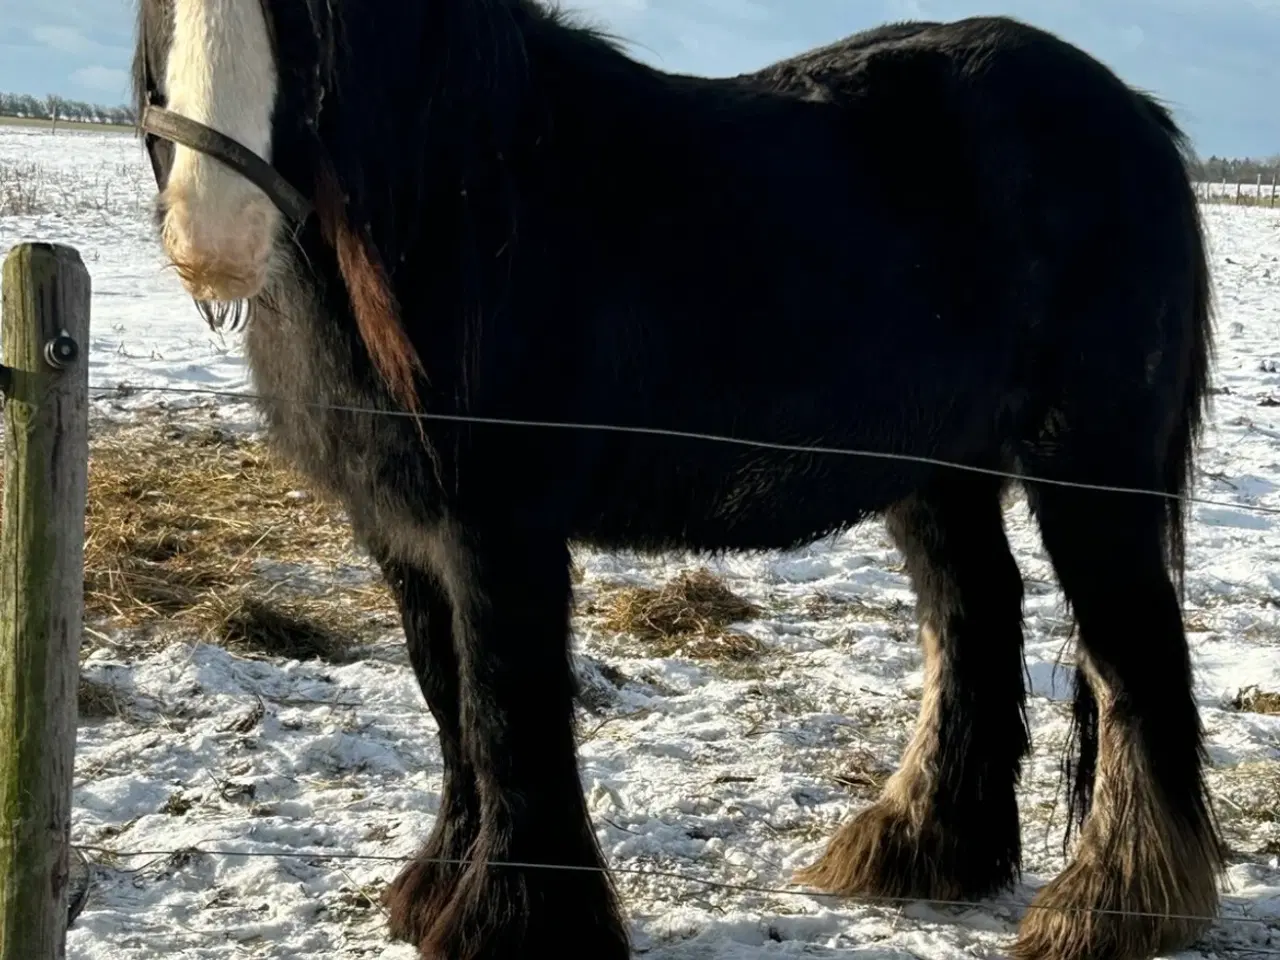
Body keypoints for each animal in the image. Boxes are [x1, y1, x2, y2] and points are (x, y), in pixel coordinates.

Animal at [135, 3, 1223, 957]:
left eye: (312, 18)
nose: (213, 239)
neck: (474, 204)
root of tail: (1136, 115)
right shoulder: (400, 535)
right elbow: (449, 705)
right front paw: (437, 894)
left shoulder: (499, 533)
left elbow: (504, 709)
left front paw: (513, 924)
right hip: (937, 474)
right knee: (972, 621)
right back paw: (922, 849)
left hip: (1092, 469)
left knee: (1129, 656)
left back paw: (1110, 910)